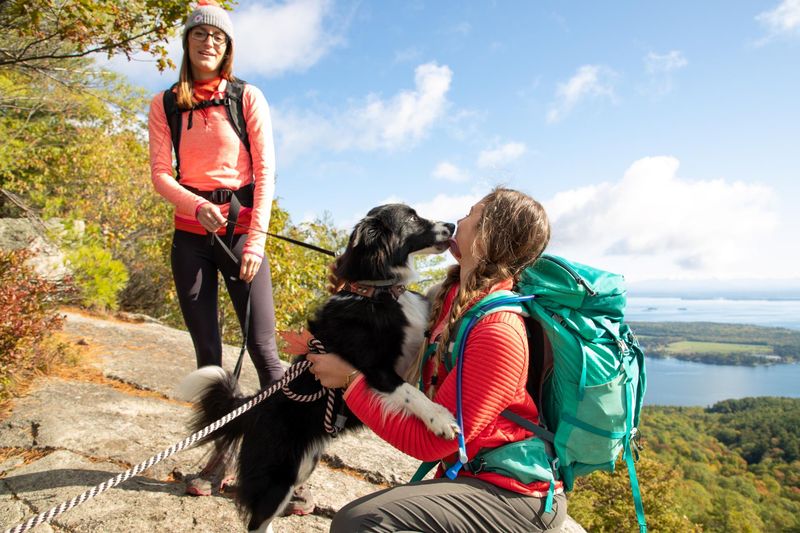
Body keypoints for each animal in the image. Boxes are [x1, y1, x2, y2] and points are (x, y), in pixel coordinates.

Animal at [179, 205, 460, 532]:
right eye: (413, 218)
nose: (452, 224)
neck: (375, 292)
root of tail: (254, 408)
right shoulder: (376, 369)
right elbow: (409, 393)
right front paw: (441, 419)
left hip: (301, 467)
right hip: (279, 474)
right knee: (256, 520)